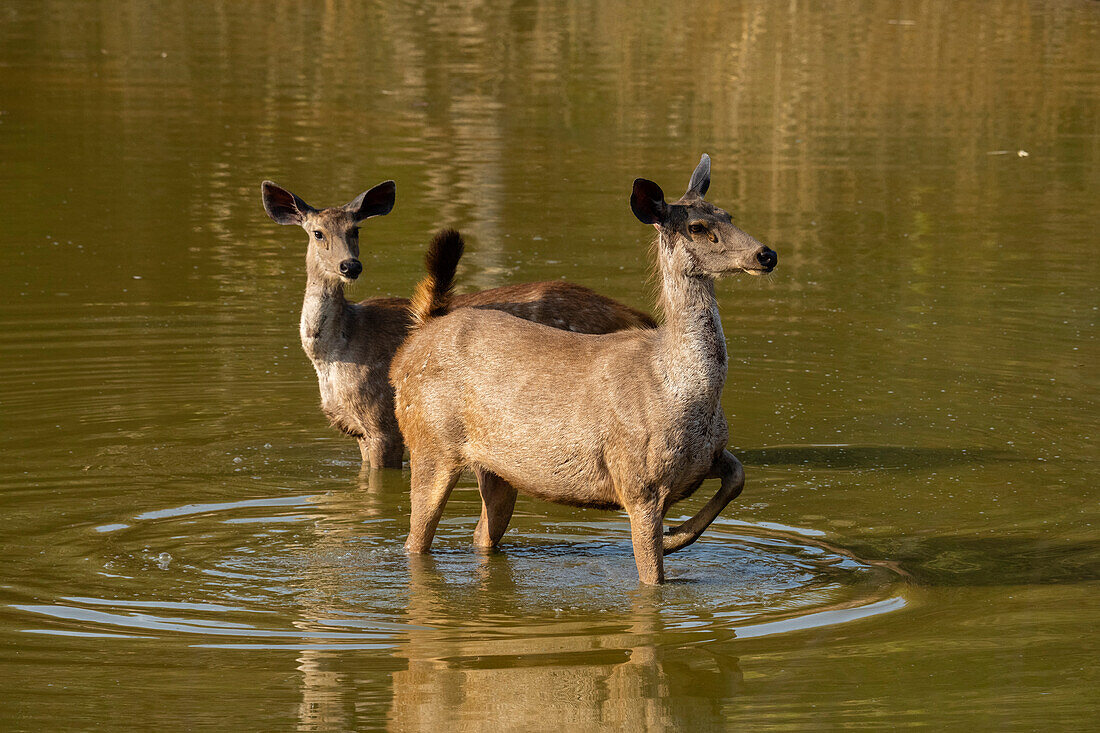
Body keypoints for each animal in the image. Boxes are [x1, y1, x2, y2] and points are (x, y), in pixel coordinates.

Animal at [257, 181, 651, 468]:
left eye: (356, 230)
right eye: (318, 233)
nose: (350, 266)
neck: (335, 351)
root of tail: (637, 316)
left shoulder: (383, 423)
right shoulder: (357, 431)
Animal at [391, 154, 778, 581]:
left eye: (728, 214)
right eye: (697, 227)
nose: (765, 255)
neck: (683, 391)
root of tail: (412, 342)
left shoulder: (709, 454)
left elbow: (738, 477)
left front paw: (677, 535)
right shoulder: (636, 481)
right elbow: (653, 579)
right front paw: (671, 540)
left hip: (498, 468)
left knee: (482, 534)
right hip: (431, 441)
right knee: (414, 540)